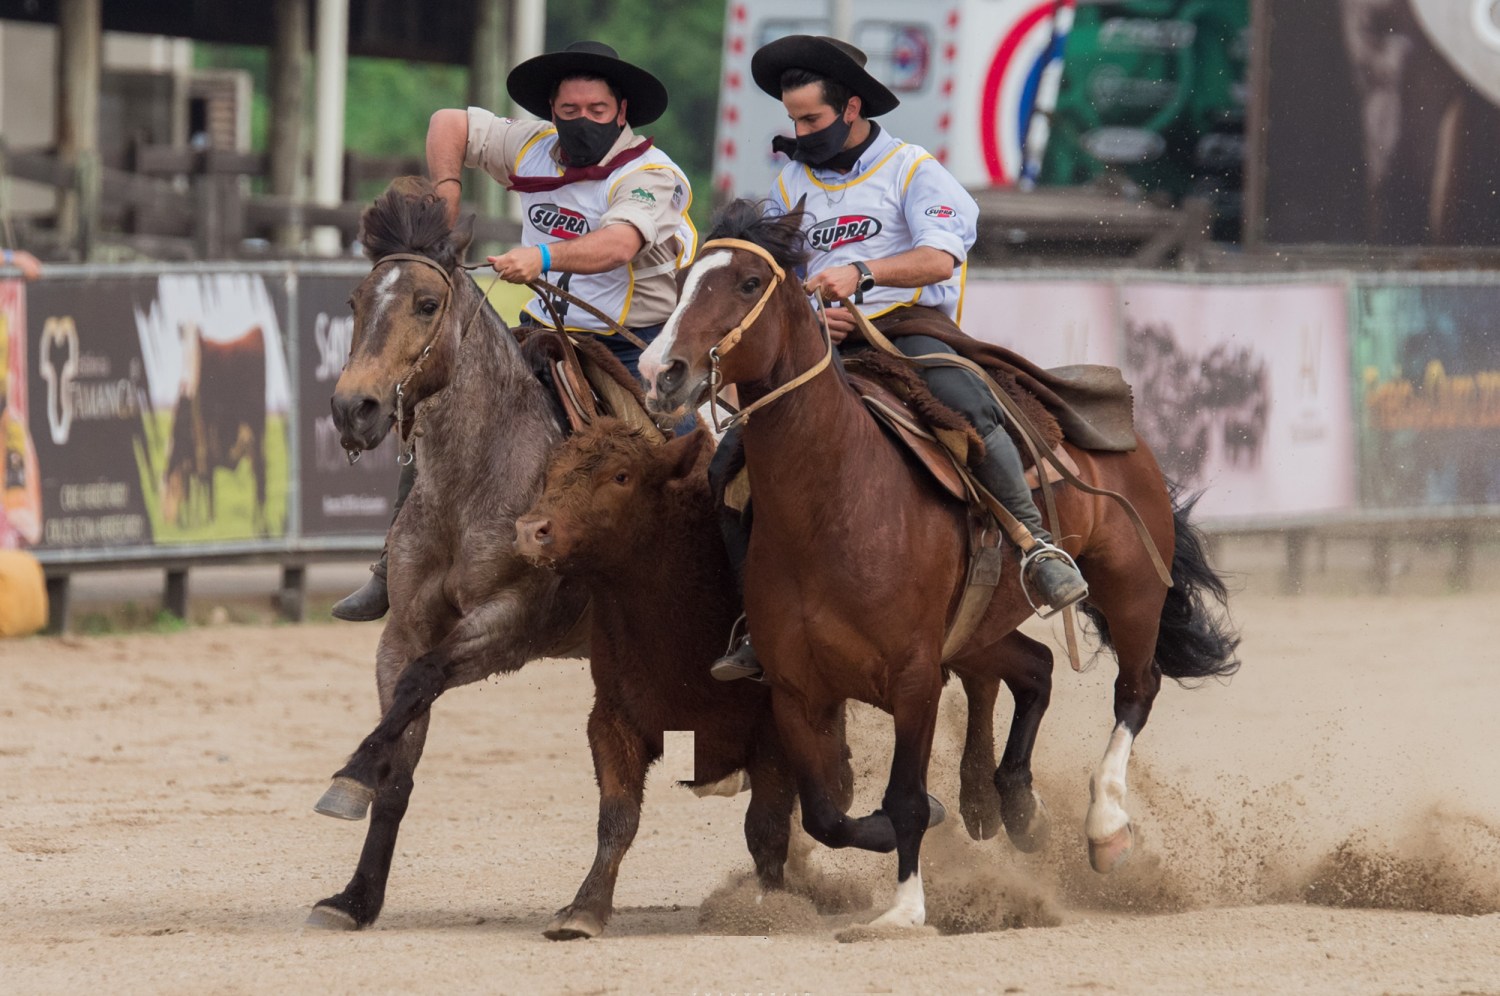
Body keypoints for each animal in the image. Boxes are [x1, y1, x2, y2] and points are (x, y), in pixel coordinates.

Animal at [306, 177, 591, 924]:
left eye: (426, 303)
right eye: (354, 302)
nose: (353, 408)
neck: (478, 481)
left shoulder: (510, 626)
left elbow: (420, 681)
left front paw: (348, 774)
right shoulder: (404, 629)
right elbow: (400, 753)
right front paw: (356, 896)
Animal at [639, 198, 1236, 930]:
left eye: (750, 283)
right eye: (684, 279)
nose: (662, 373)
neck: (836, 501)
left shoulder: (916, 677)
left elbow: (904, 799)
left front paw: (904, 910)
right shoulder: (796, 690)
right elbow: (829, 814)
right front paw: (929, 825)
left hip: (1130, 588)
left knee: (1135, 690)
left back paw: (1104, 827)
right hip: (981, 629)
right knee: (1036, 669)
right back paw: (1013, 804)